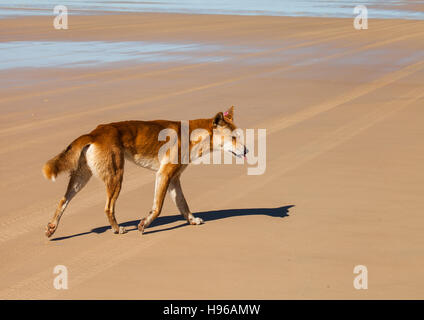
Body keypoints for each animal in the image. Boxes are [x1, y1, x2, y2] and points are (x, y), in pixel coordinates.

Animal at [41, 107, 247, 238]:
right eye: (233, 138)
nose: (246, 151)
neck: (193, 136)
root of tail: (94, 133)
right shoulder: (164, 174)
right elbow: (158, 207)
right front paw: (144, 224)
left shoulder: (174, 179)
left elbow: (183, 204)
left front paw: (192, 220)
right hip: (116, 176)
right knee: (108, 207)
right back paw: (117, 229)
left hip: (82, 177)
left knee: (63, 200)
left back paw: (52, 227)